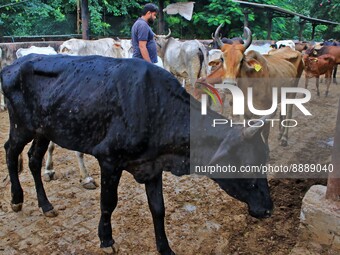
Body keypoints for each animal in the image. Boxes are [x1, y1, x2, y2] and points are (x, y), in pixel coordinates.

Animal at [1, 54, 274, 255]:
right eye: (246, 163)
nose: (269, 210)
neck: (156, 107)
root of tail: (13, 65)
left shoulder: (152, 166)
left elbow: (158, 208)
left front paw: (165, 249)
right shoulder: (109, 160)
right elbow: (108, 203)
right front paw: (106, 240)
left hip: (43, 130)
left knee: (34, 159)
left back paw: (46, 205)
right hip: (21, 125)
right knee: (10, 151)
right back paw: (16, 198)